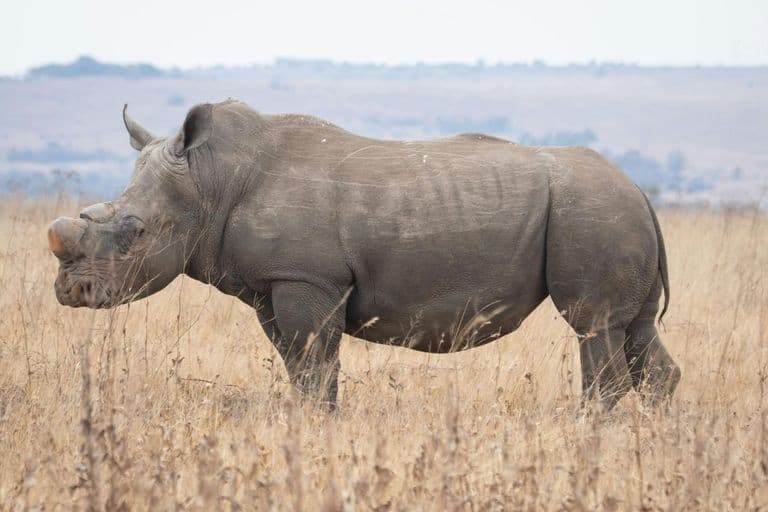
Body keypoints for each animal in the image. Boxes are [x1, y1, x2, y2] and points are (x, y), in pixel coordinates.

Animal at [48, 99, 680, 411]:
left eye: (133, 231)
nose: (70, 292)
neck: (210, 180)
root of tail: (641, 191)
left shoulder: (307, 279)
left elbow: (314, 363)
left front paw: (314, 427)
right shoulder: (272, 284)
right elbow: (302, 365)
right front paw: (309, 423)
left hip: (591, 210)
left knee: (593, 326)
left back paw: (588, 433)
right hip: (609, 210)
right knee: (635, 330)